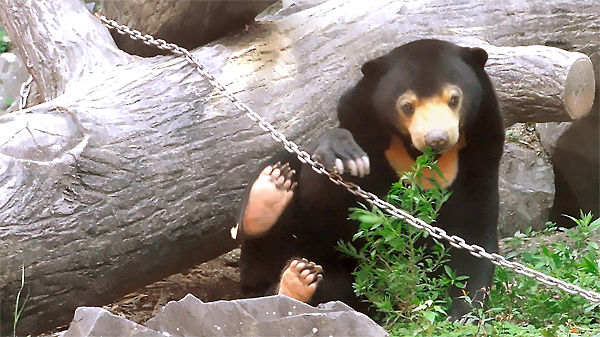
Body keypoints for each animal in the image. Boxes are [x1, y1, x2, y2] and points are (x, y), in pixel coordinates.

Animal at [232, 39, 504, 318]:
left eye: (454, 98)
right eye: (407, 106)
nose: (437, 138)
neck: (419, 155)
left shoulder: (480, 157)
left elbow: (472, 236)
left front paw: (462, 312)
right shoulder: (362, 124)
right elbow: (323, 204)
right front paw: (344, 157)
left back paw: (298, 280)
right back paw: (269, 197)